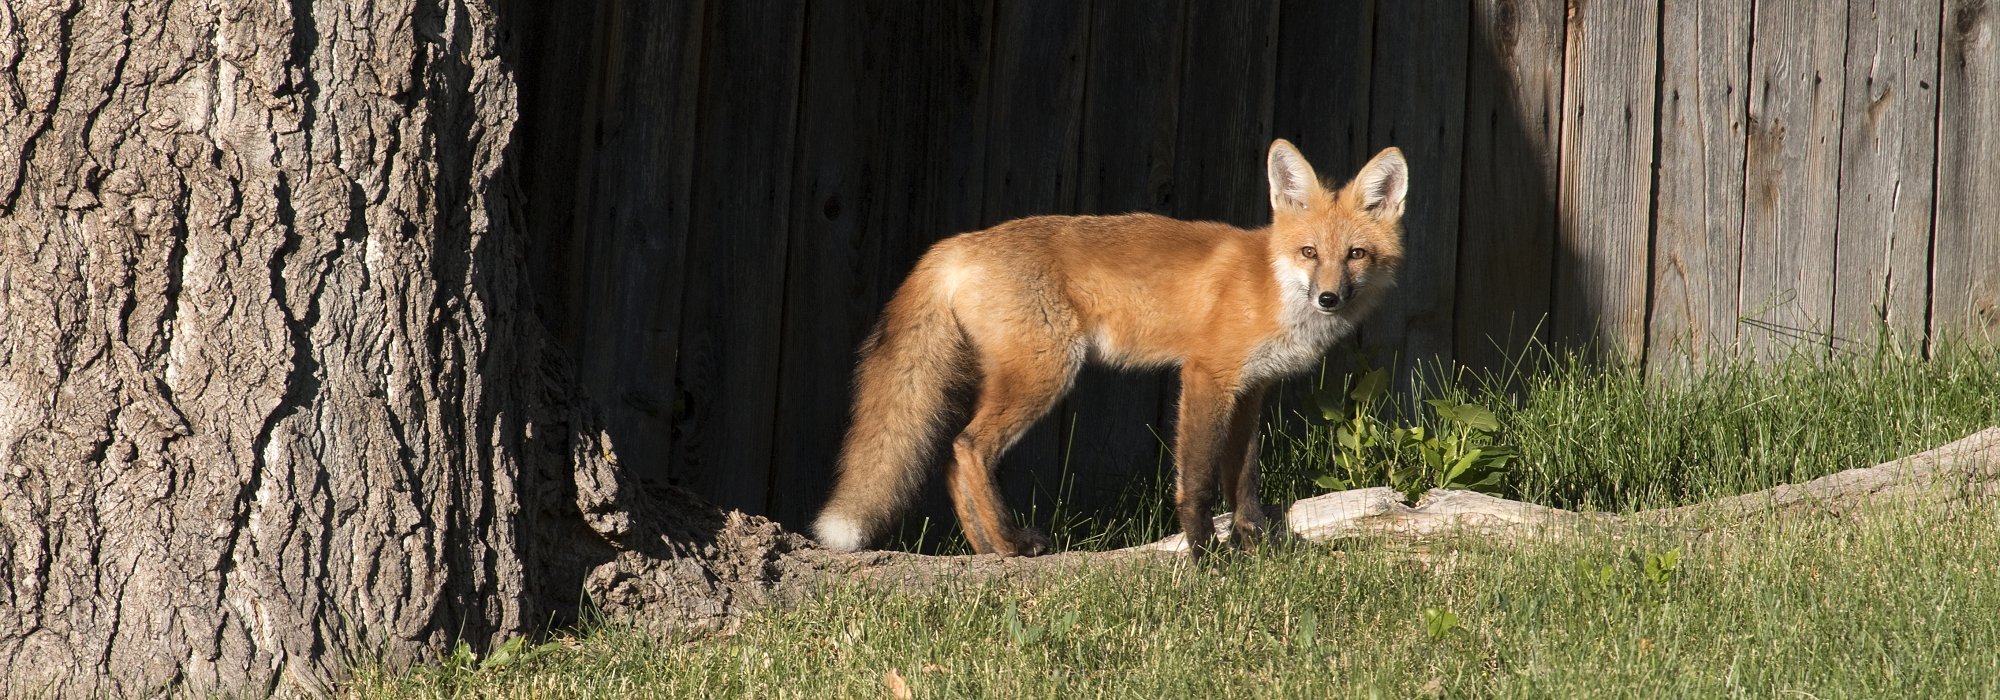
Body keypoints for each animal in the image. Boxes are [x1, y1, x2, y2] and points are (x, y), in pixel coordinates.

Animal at [815, 139, 1408, 557]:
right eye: (1309, 252)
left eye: (1355, 254)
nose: (1329, 298)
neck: (1270, 284)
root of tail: (959, 242)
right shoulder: (1206, 374)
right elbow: (1197, 480)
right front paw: (1205, 557)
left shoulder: (1252, 389)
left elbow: (1243, 480)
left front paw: (1254, 545)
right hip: (1046, 374)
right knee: (967, 447)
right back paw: (1008, 544)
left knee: (952, 461)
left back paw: (985, 551)